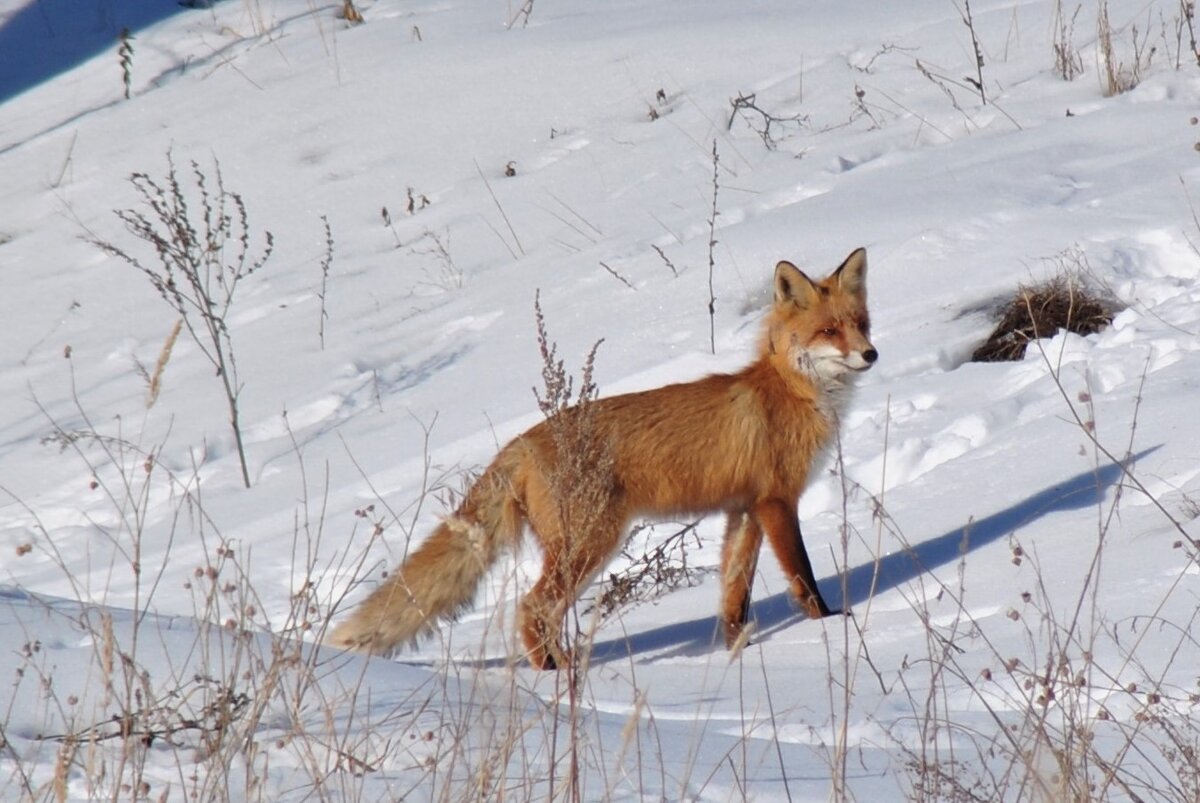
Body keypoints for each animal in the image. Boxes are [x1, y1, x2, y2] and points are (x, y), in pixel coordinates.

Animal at [333, 247, 878, 667]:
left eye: (861, 324)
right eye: (829, 331)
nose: (871, 354)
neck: (795, 392)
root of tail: (521, 441)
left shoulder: (743, 509)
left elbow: (733, 594)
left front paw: (735, 652)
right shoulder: (777, 501)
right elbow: (803, 576)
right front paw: (828, 624)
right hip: (590, 544)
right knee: (531, 608)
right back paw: (555, 676)